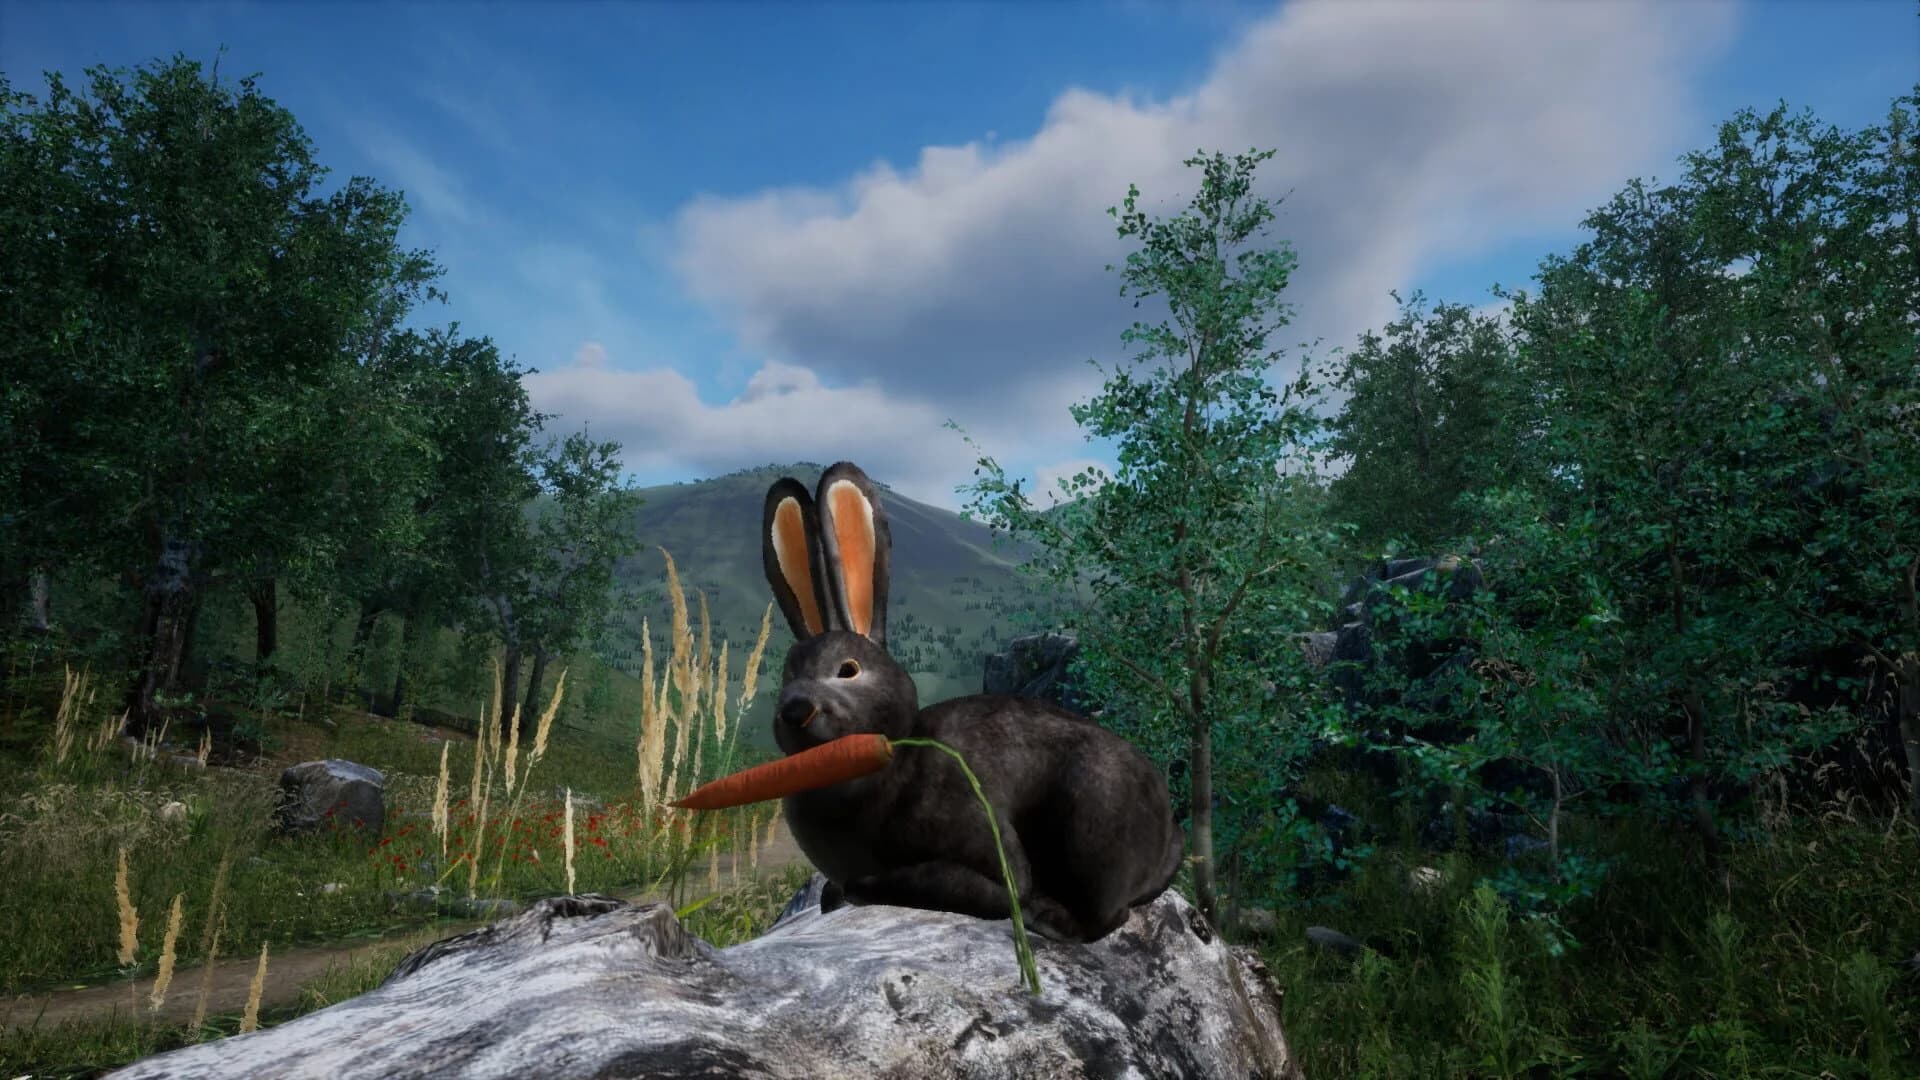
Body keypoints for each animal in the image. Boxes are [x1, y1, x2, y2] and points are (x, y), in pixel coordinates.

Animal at [761, 461, 1184, 944]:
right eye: (788, 674)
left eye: (847, 669)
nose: (796, 711)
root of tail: (1170, 832)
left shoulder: (980, 839)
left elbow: (979, 882)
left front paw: (858, 890)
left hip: (1094, 822)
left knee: (1107, 914)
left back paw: (1050, 920)